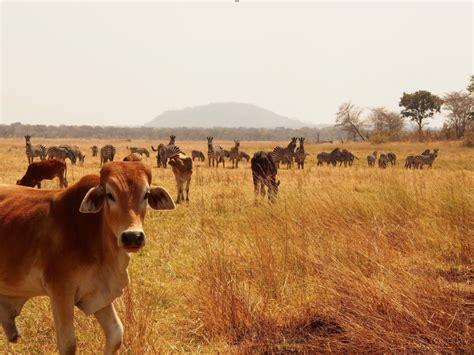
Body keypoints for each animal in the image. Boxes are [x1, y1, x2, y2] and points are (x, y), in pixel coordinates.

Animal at [0, 163, 174, 354]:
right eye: (109, 195)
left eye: (146, 194)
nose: (132, 236)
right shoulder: (61, 291)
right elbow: (68, 344)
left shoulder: (97, 291)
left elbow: (116, 334)